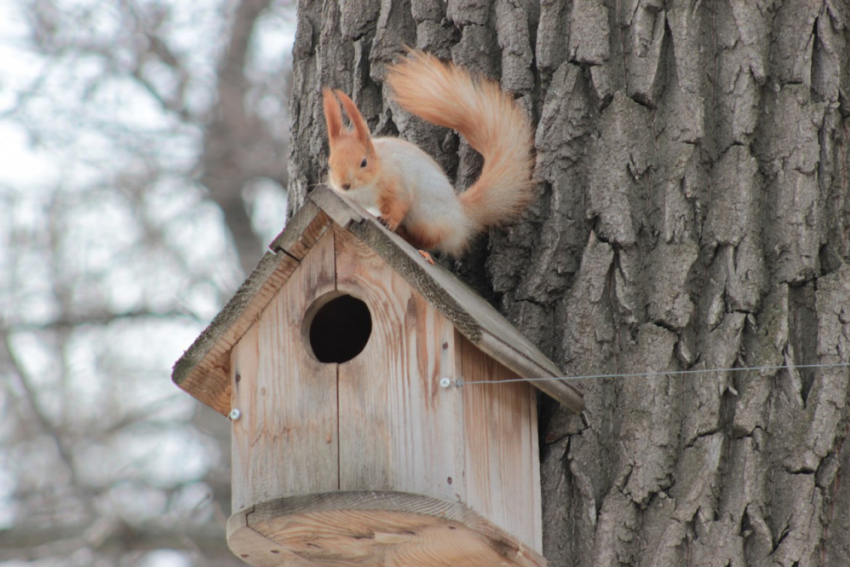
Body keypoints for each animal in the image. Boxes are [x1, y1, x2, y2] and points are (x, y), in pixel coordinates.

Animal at [322, 50, 532, 258]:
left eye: (364, 162)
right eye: (330, 165)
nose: (344, 185)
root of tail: (460, 217)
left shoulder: (396, 182)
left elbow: (398, 204)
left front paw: (389, 221)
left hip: (426, 216)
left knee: (428, 239)